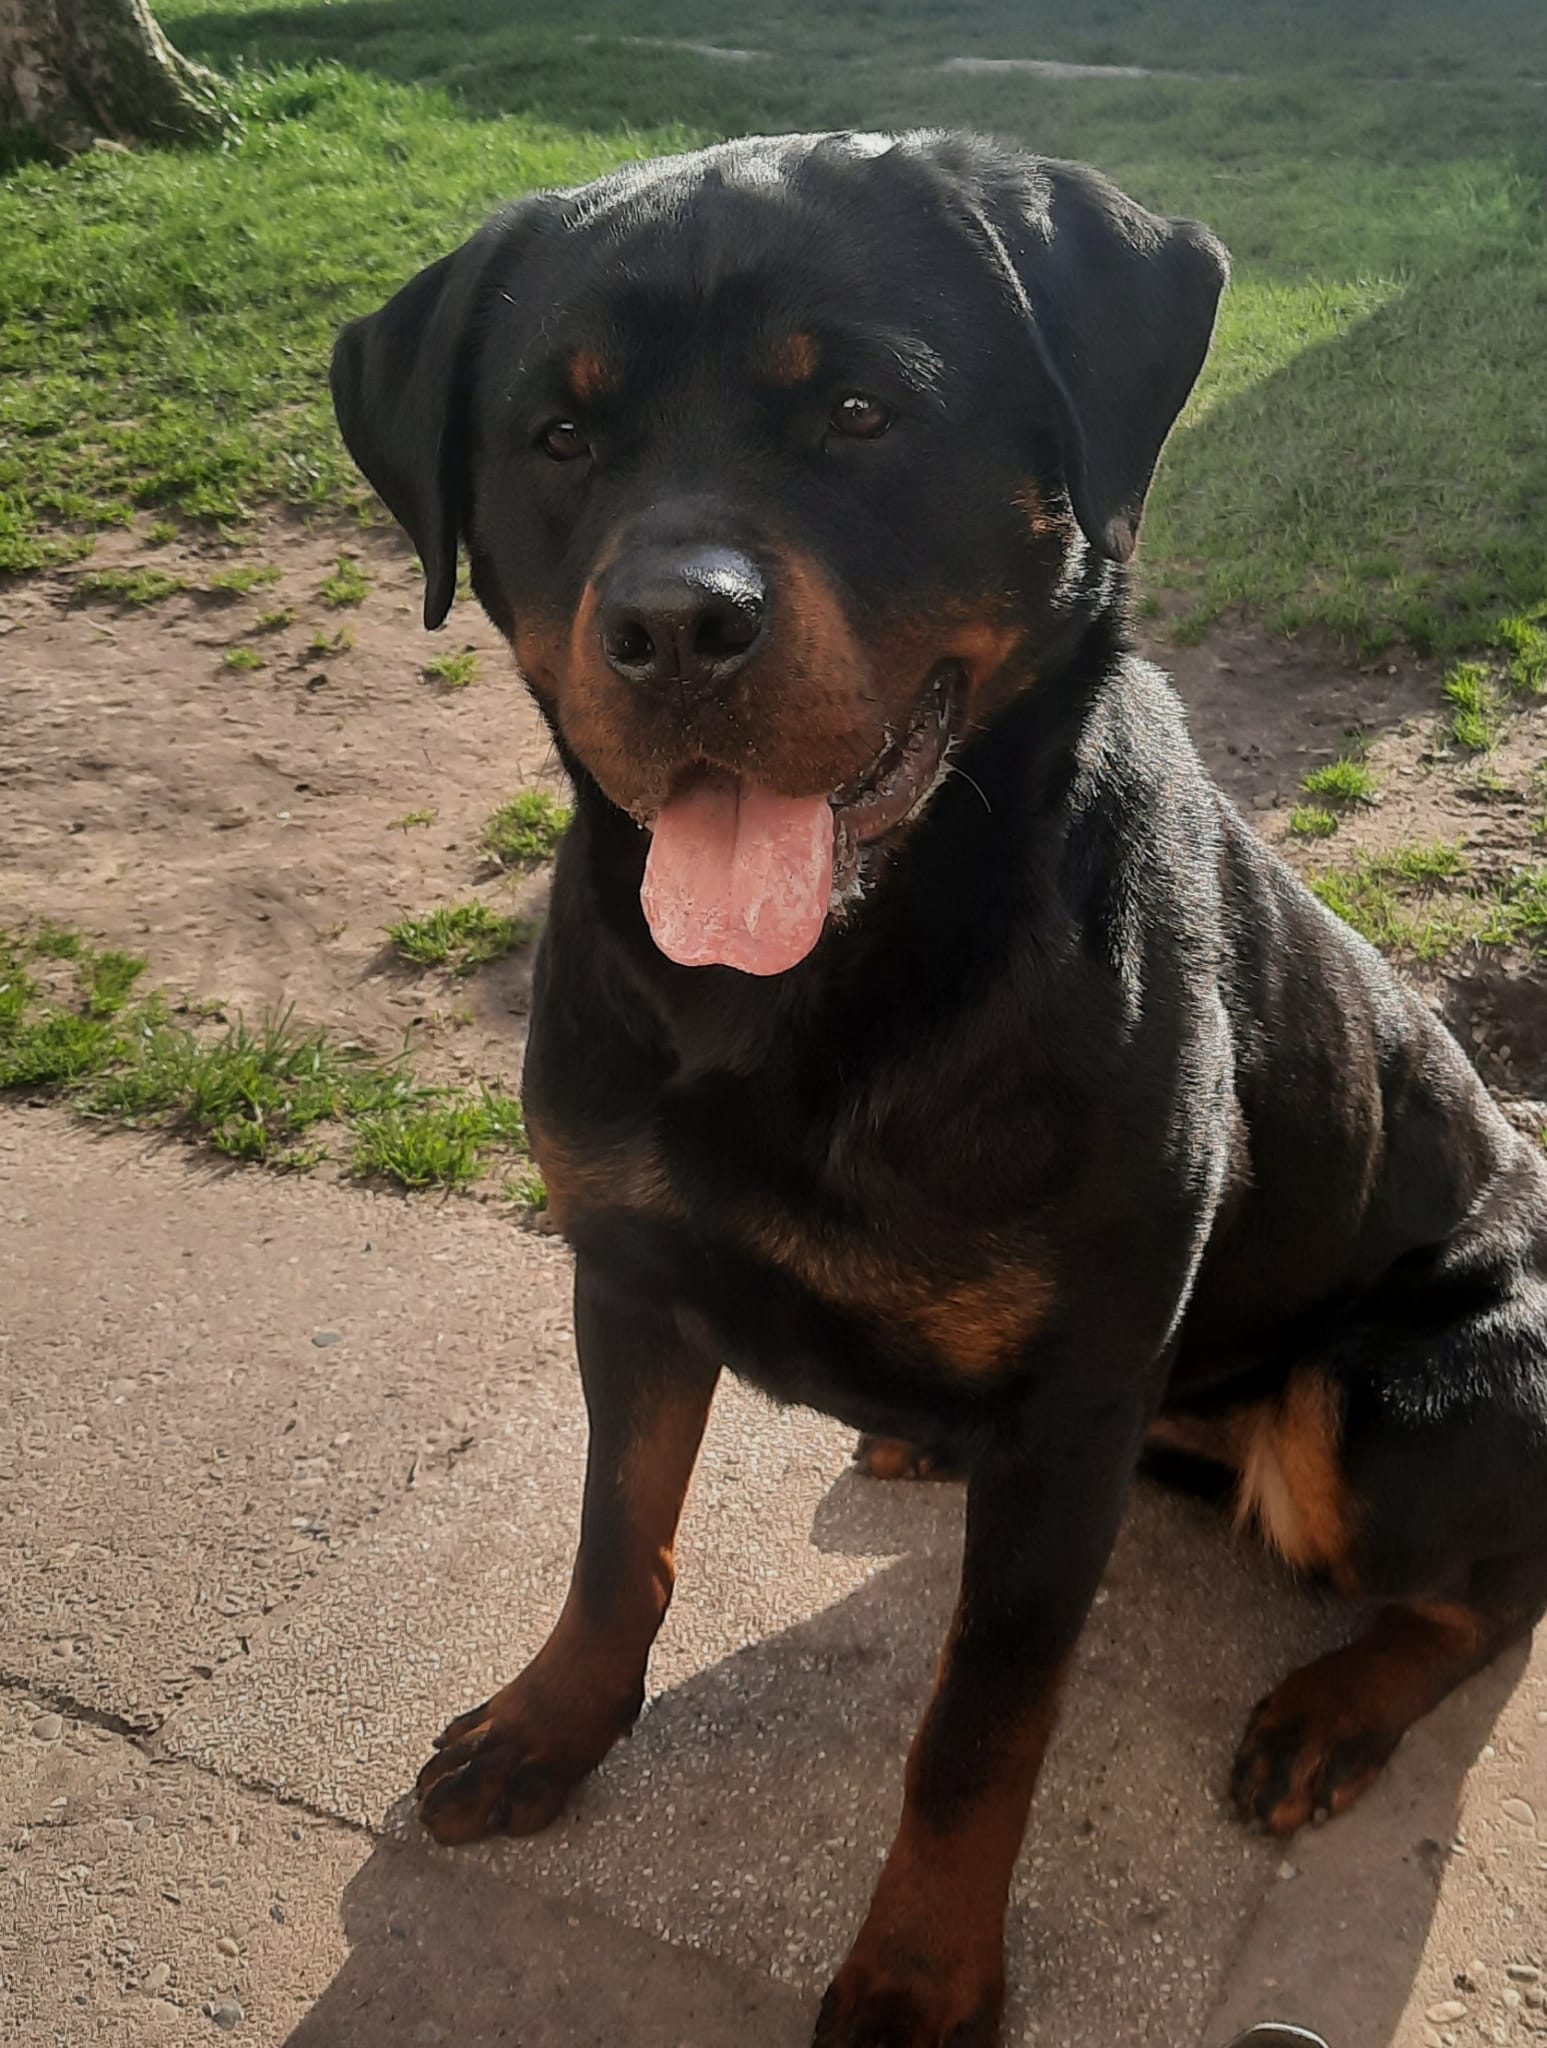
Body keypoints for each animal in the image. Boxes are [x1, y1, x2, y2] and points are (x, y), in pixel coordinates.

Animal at [332, 132, 1547, 2047]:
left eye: (855, 409)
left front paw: (916, 1973)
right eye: (557, 435)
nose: (669, 623)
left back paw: (1327, 1709)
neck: (806, 994)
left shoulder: (1064, 1419)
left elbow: (978, 1727)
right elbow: (614, 1538)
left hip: (1396, 1400)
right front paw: (552, 1722)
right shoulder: (625, 1274)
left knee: (1486, 1591)